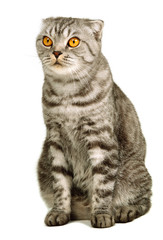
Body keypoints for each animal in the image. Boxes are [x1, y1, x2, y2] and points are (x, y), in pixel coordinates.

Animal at [35, 17, 152, 229]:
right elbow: (60, 183)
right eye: (47, 41)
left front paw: (102, 214)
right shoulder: (55, 141)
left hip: (133, 171)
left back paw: (125, 210)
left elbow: (102, 185)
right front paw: (59, 211)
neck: (66, 92)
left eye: (73, 41)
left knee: (145, 200)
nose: (56, 52)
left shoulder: (101, 139)